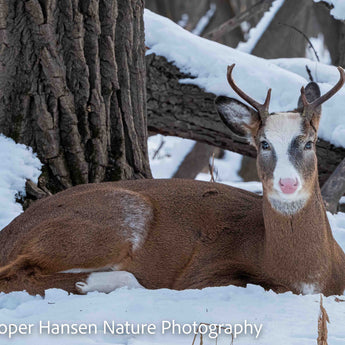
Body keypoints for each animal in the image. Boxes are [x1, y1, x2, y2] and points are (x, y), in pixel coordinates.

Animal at [0, 63, 344, 296]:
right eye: (264, 144)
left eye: (309, 143)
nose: (287, 184)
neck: (309, 273)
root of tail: (8, 233)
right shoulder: (205, 273)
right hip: (119, 215)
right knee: (18, 274)